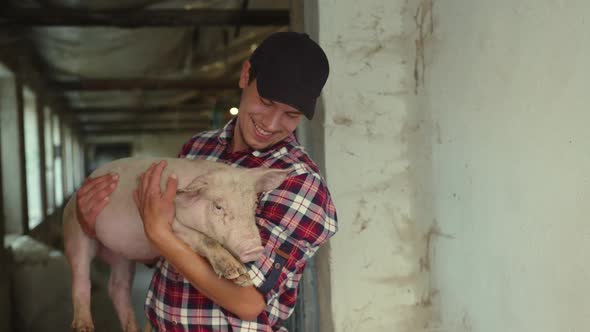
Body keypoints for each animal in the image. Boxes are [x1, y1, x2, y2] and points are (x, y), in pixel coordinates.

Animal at [62, 158, 292, 332]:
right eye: (218, 206)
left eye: (254, 205)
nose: (255, 248)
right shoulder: (171, 224)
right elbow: (205, 239)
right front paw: (236, 273)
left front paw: (243, 279)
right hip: (76, 230)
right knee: (81, 279)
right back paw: (84, 327)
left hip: (122, 255)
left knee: (117, 288)